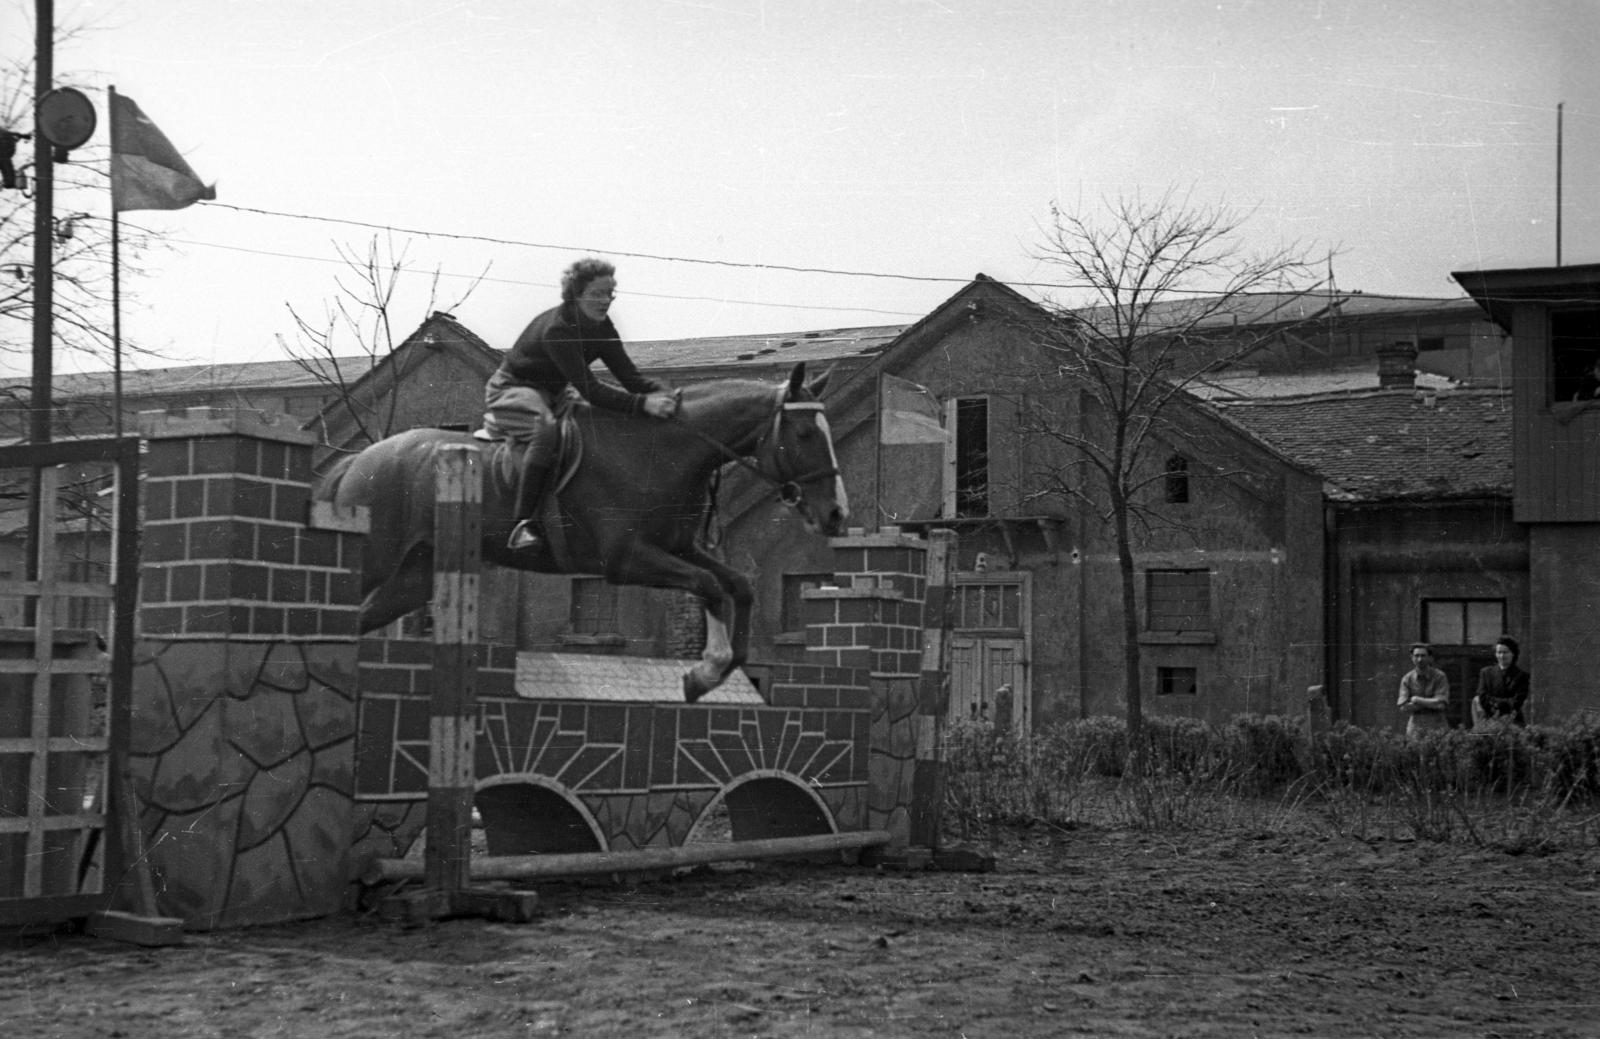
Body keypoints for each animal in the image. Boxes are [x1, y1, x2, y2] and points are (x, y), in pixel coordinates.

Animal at [310, 360, 851, 701]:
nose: (836, 515)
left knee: (363, 617)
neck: (661, 453)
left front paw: (717, 669)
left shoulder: (677, 547)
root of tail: (361, 459)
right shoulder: (625, 560)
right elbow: (709, 585)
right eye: (805, 434)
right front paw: (704, 672)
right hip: (376, 556)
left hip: (412, 577)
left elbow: (735, 585)